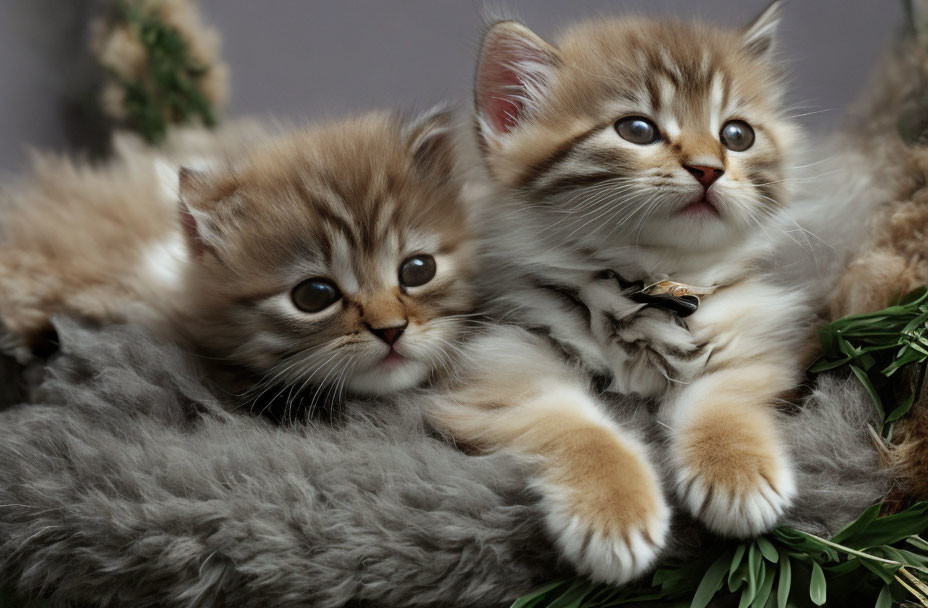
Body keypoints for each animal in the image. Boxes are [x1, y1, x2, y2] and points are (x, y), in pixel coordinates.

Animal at [428, 2, 812, 588]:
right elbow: (578, 429)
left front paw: (738, 471)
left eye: (737, 135)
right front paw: (615, 513)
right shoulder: (502, 361)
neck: (649, 286)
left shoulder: (755, 346)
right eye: (636, 129)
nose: (709, 167)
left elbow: (723, 397)